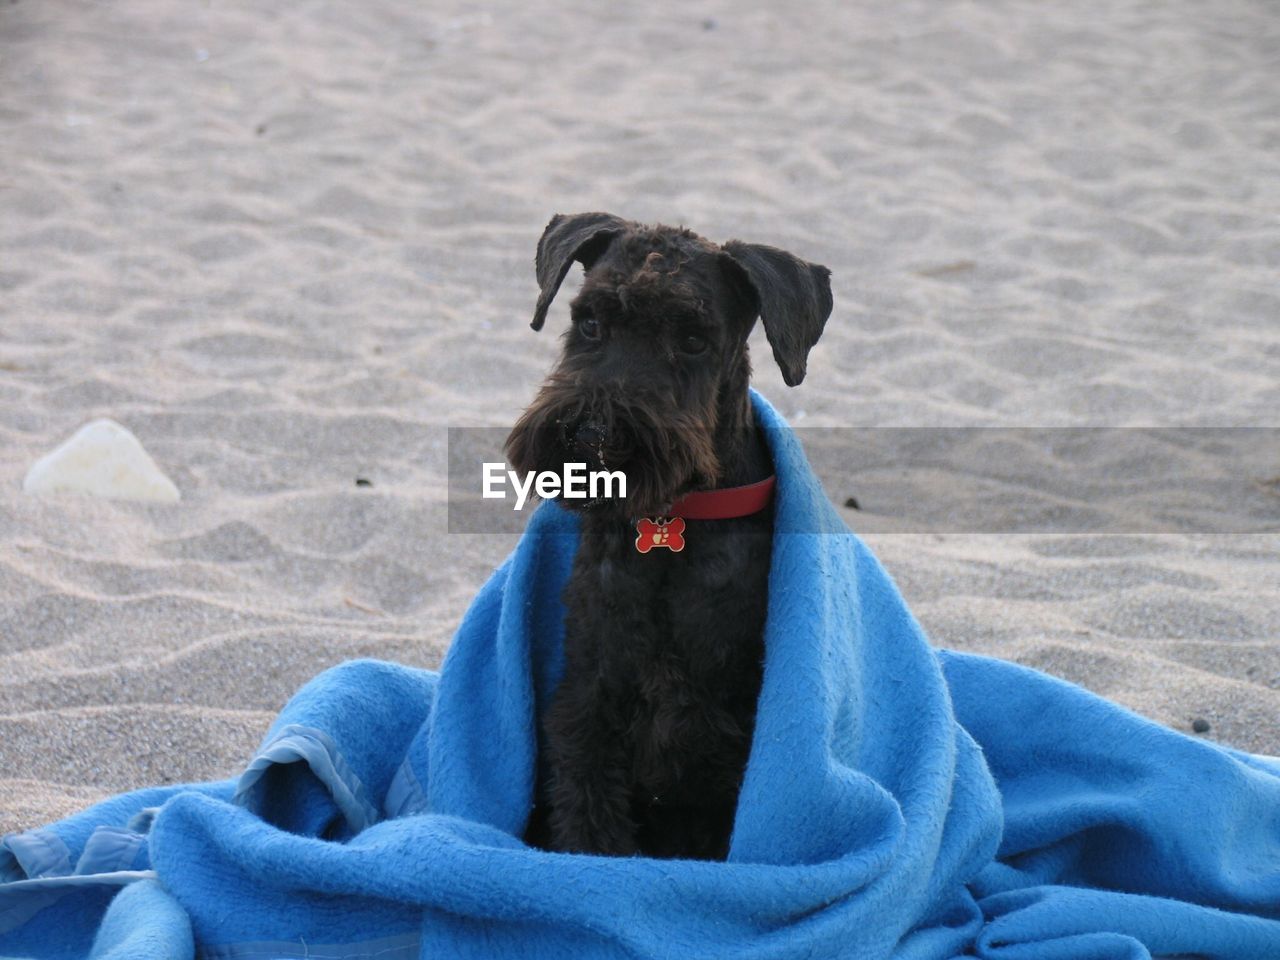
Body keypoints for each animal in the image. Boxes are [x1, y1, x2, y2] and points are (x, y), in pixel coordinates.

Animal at [504, 213, 834, 860]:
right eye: (589, 322)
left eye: (693, 340)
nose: (592, 435)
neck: (673, 521)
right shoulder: (590, 702)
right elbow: (589, 817)